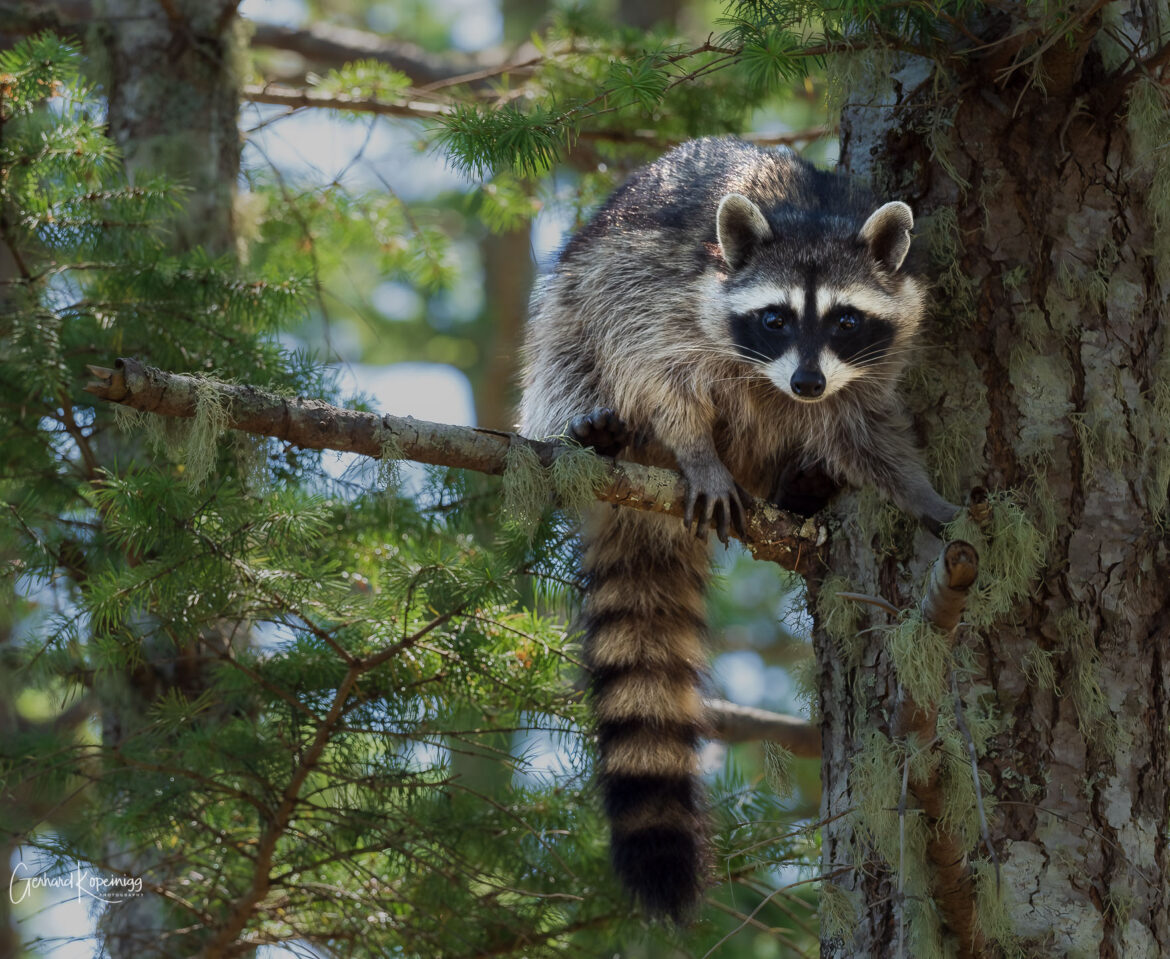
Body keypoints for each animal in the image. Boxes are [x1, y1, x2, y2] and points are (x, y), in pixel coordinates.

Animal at [521, 136, 959, 921]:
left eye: (846, 320)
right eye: (775, 318)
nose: (808, 382)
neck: (811, 217)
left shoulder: (876, 354)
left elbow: (866, 428)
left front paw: (918, 491)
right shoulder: (662, 293)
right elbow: (658, 371)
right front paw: (696, 449)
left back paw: (801, 485)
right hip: (570, 304)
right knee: (570, 348)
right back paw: (602, 431)